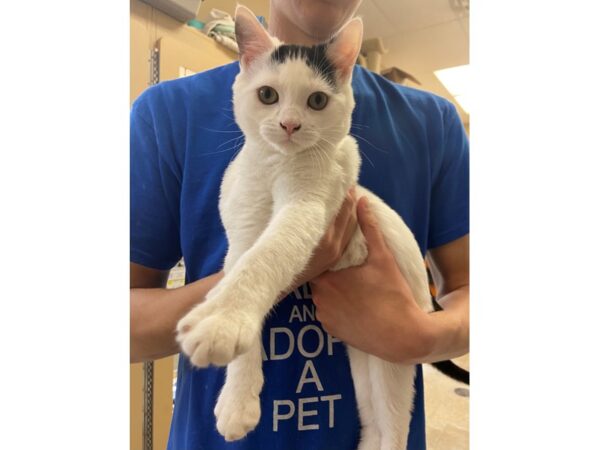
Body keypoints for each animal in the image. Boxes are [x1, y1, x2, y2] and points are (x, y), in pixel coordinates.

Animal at [176, 6, 434, 450]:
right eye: (267, 95)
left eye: (317, 101)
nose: (290, 125)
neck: (275, 165)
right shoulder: (242, 231)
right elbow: (241, 264)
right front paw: (238, 401)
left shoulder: (309, 205)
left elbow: (265, 257)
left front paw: (221, 321)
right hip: (364, 355)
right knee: (373, 419)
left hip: (392, 352)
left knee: (393, 424)